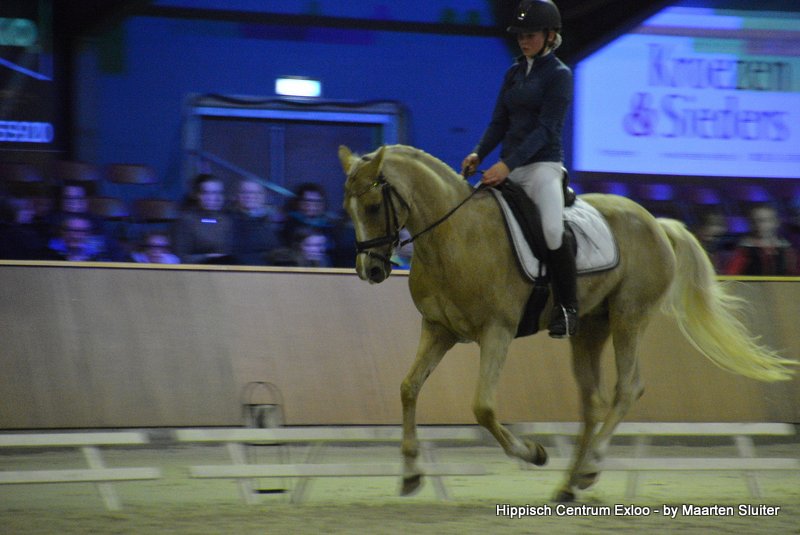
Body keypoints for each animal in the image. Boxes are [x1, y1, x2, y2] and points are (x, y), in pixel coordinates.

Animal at [337, 143, 796, 502]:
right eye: (347, 208)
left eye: (374, 206)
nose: (370, 270)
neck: (454, 236)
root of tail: (656, 222)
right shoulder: (438, 330)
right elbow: (408, 388)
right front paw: (411, 473)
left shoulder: (497, 332)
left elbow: (483, 407)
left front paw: (533, 453)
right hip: (589, 329)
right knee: (592, 401)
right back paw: (570, 484)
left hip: (629, 317)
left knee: (627, 388)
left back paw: (590, 467)